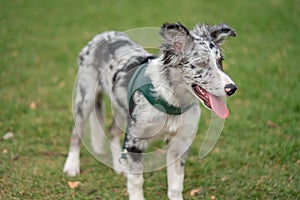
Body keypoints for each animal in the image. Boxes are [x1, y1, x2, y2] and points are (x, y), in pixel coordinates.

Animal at [63, 22, 237, 200]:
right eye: (202, 63)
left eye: (220, 61)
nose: (232, 88)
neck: (172, 100)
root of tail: (101, 36)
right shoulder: (135, 140)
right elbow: (136, 181)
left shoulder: (179, 144)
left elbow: (176, 184)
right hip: (86, 97)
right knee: (76, 132)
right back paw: (72, 166)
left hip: (120, 108)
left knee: (112, 130)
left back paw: (119, 165)